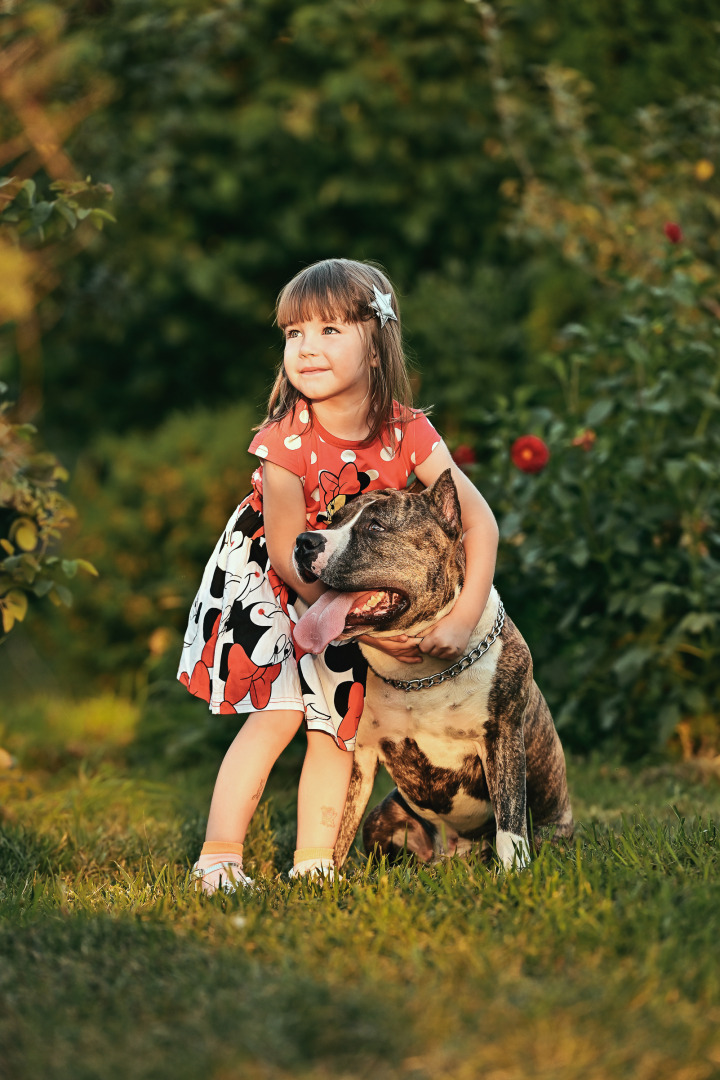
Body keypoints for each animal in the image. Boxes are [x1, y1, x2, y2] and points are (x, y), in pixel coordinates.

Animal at [293, 470, 574, 868]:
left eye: (376, 527)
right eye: (331, 521)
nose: (304, 541)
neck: (419, 677)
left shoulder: (503, 735)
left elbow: (510, 819)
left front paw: (514, 871)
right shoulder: (360, 756)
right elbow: (340, 824)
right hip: (384, 817)